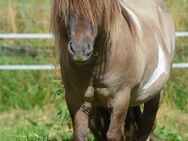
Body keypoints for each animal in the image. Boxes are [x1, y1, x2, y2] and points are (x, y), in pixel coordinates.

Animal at [51, 0, 175, 140]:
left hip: (154, 95)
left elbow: (114, 135)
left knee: (146, 127)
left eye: (97, 10)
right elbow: (80, 134)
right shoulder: (76, 99)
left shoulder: (120, 99)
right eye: (64, 10)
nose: (79, 51)